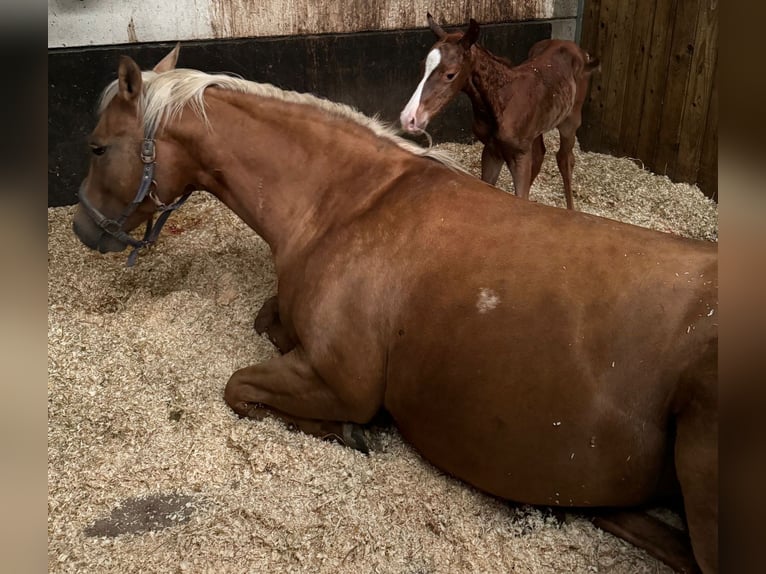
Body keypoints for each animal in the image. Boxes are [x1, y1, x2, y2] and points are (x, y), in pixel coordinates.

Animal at [72, 46, 717, 573]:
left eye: (99, 147)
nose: (82, 227)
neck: (353, 202)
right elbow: (267, 321)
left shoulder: (341, 380)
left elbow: (241, 388)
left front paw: (348, 431)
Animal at [400, 14, 600, 210]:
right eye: (421, 67)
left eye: (450, 74)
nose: (409, 118)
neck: (502, 102)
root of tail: (576, 49)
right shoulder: (491, 150)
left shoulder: (520, 156)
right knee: (540, 153)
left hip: (570, 120)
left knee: (565, 159)